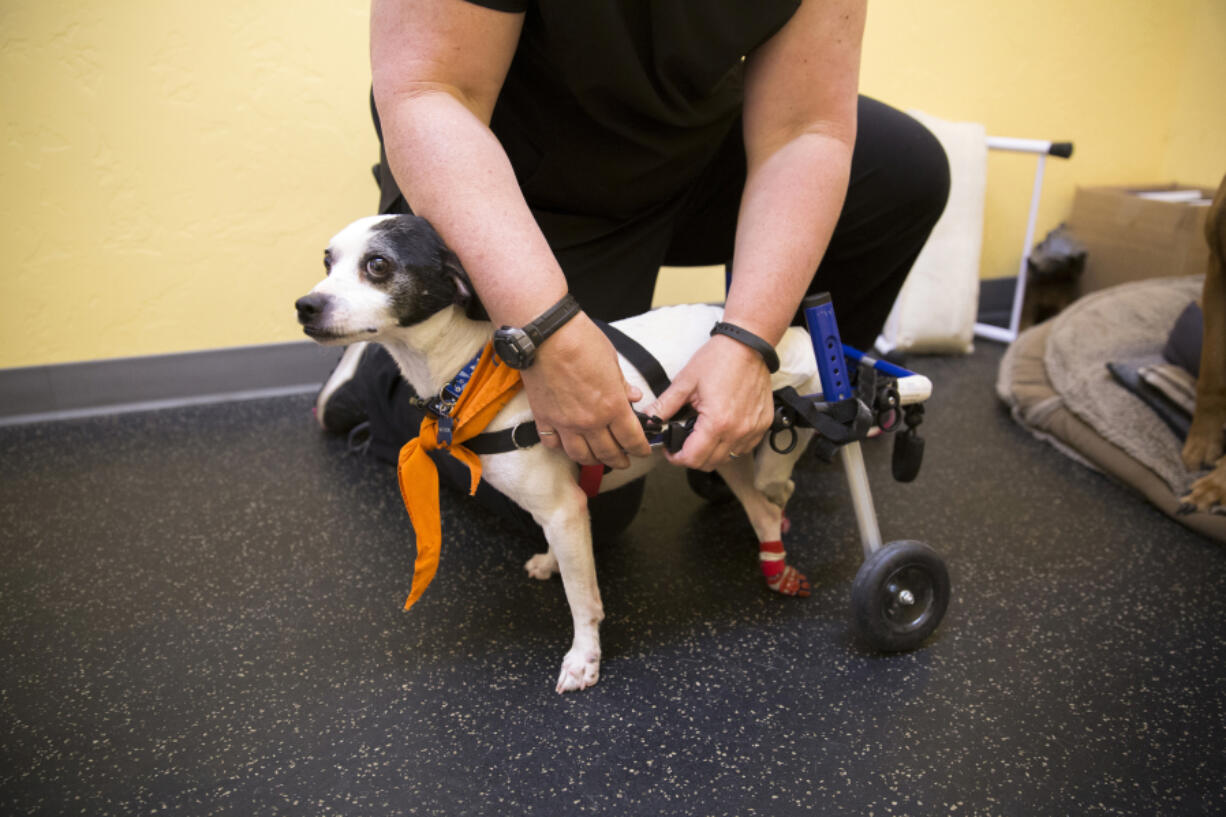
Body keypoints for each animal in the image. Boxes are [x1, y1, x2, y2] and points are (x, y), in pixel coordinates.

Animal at [291, 213, 818, 691]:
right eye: (327, 260)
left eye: (378, 264)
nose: (305, 305)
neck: (475, 373)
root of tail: (794, 335)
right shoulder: (564, 507)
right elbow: (563, 551)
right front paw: (550, 560)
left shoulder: (564, 510)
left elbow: (583, 601)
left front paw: (585, 659)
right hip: (719, 453)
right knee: (764, 510)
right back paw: (775, 558)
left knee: (779, 488)